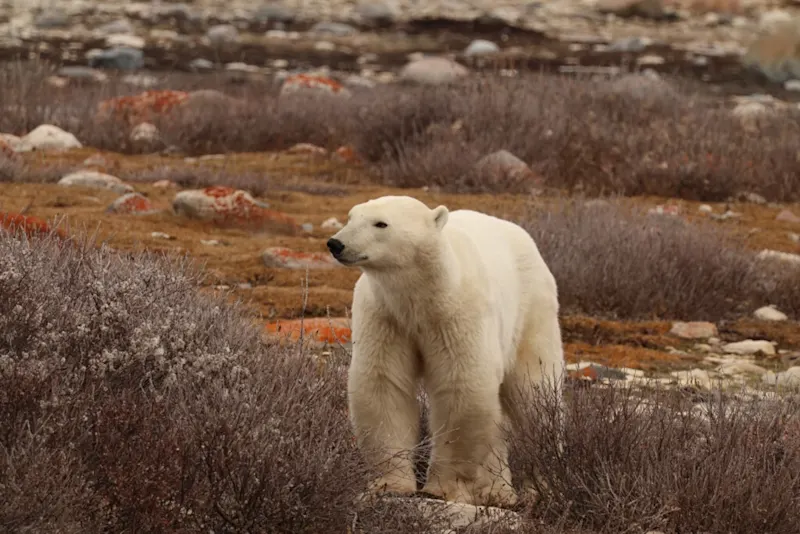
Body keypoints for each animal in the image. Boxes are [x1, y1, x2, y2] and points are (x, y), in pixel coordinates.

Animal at [326, 195, 566, 508]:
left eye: (381, 223)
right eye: (351, 217)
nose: (336, 243)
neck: (421, 297)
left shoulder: (456, 315)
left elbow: (460, 385)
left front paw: (442, 489)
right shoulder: (385, 316)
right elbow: (384, 384)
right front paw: (389, 485)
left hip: (532, 310)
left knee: (535, 392)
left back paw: (540, 486)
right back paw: (496, 490)